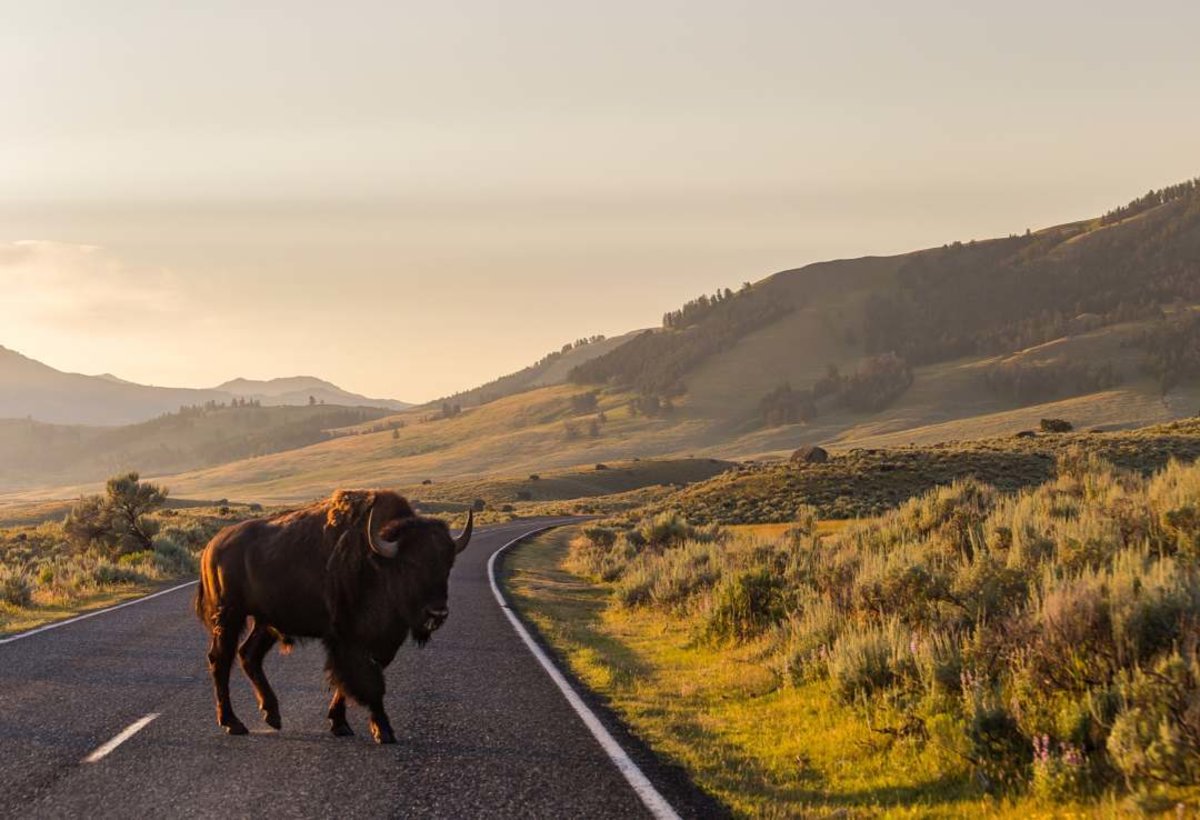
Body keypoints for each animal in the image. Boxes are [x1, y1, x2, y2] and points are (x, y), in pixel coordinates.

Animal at [194, 489, 472, 743]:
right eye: (410, 564)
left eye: (448, 565)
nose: (437, 613)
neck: (377, 562)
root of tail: (212, 546)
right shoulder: (348, 640)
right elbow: (369, 684)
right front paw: (383, 730)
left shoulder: (380, 644)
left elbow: (347, 683)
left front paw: (340, 724)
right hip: (230, 617)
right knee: (221, 660)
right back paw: (232, 723)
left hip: (266, 622)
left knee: (249, 655)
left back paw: (272, 716)